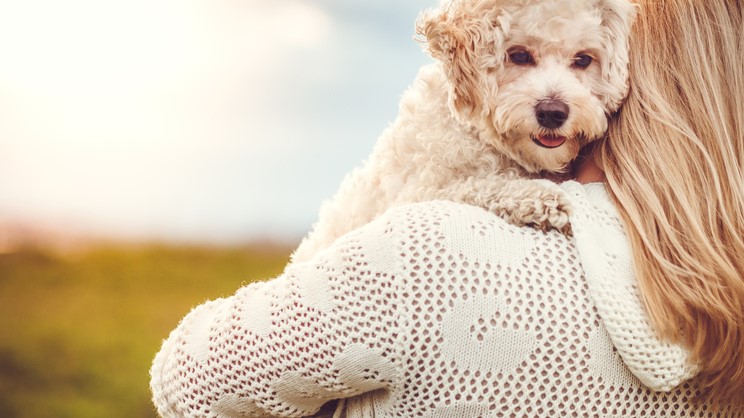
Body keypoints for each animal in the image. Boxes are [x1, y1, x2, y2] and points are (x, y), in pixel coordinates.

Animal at [290, 0, 632, 262]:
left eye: (583, 60)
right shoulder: (420, 191)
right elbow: (473, 186)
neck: (479, 134)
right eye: (519, 55)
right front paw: (539, 199)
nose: (553, 112)